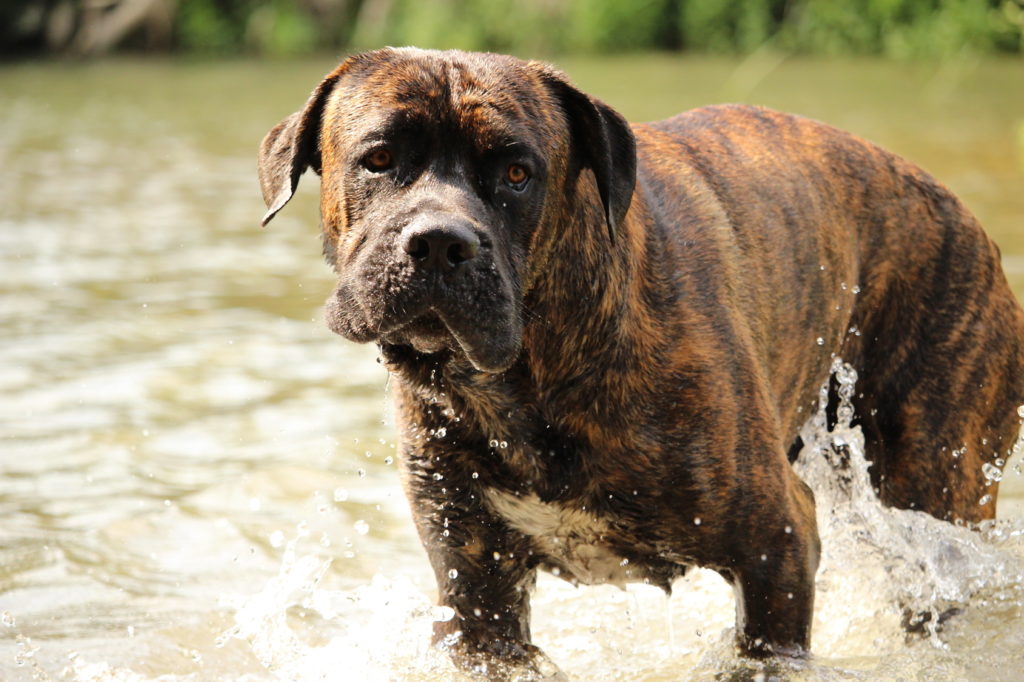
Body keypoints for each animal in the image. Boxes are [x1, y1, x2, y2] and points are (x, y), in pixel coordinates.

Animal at [260, 47, 1024, 675]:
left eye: (517, 174)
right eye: (379, 159)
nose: (442, 242)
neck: (527, 378)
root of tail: (970, 222)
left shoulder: (776, 546)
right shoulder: (477, 591)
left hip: (937, 493)